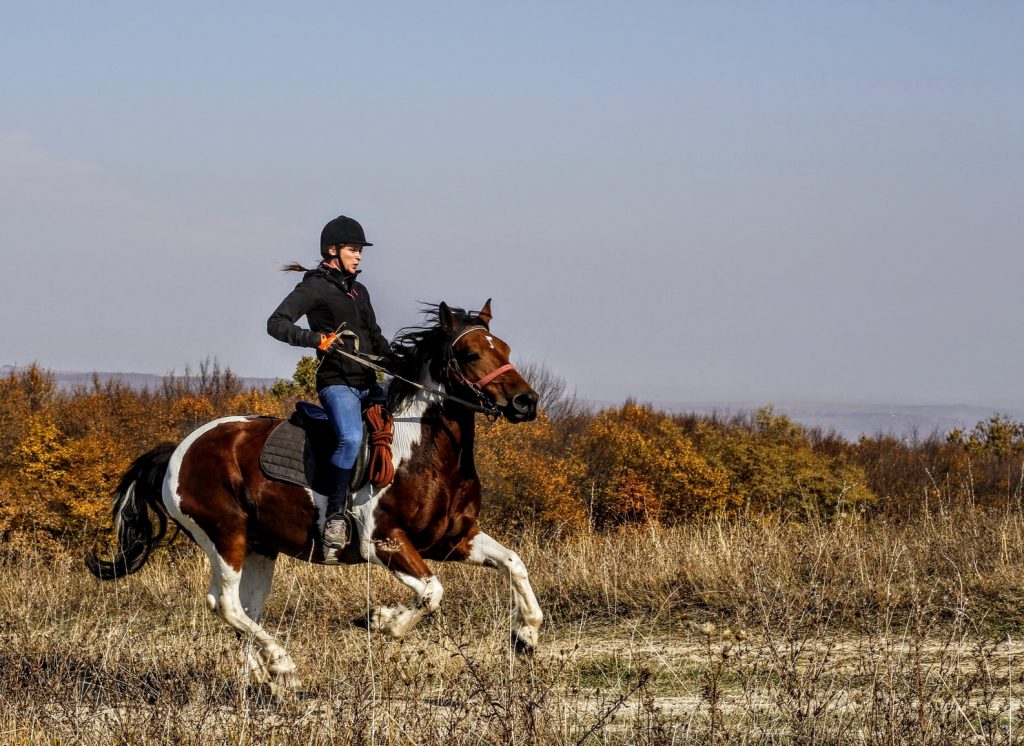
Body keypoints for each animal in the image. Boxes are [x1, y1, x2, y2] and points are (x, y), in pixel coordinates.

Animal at [86, 298, 544, 691]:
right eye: (470, 354)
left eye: (504, 348)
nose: (526, 402)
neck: (423, 449)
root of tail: (179, 450)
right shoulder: (385, 542)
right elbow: (432, 593)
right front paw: (381, 620)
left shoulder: (453, 539)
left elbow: (514, 563)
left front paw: (526, 635)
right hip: (224, 536)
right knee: (226, 604)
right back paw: (283, 666)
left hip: (260, 547)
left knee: (245, 609)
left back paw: (263, 676)